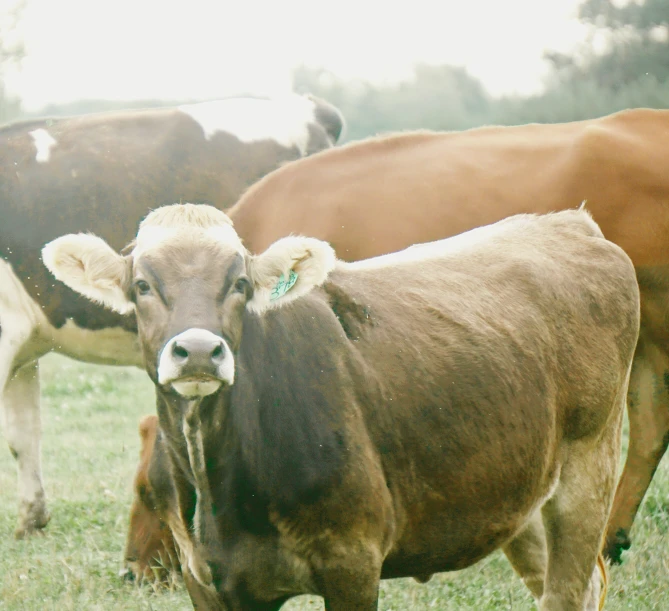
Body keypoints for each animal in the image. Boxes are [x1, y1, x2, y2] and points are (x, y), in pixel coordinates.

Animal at [44, 204, 640, 611]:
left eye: (240, 283)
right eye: (143, 285)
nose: (196, 351)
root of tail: (568, 223)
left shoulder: (353, 561)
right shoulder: (209, 581)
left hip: (588, 468)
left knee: (568, 590)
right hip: (518, 495)